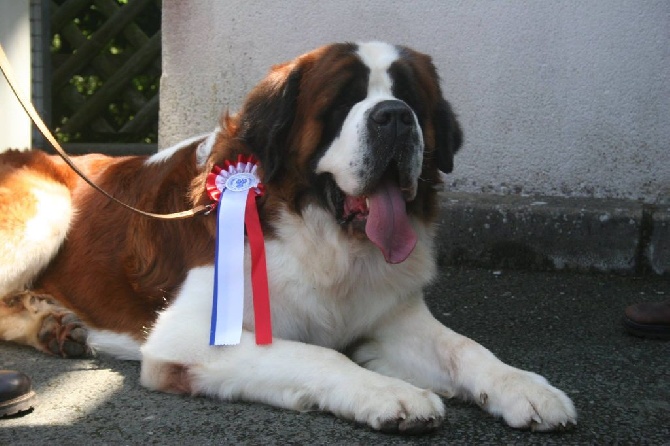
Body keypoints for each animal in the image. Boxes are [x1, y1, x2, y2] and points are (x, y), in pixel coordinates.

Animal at [0, 41, 576, 432]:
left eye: (411, 98)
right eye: (342, 104)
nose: (395, 117)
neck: (324, 236)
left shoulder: (390, 318)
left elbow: (465, 349)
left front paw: (526, 387)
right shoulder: (187, 337)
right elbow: (321, 355)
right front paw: (392, 394)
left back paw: (54, 325)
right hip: (47, 207)